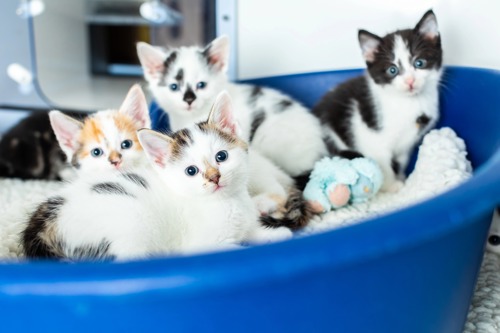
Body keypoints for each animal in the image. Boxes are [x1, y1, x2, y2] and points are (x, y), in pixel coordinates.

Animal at [23, 92, 294, 260]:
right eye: (191, 171)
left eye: (221, 156)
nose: (214, 177)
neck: (228, 203)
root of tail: (43, 226)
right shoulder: (203, 245)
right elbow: (236, 247)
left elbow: (253, 233)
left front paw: (276, 235)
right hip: (131, 227)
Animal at [314, 10, 444, 191]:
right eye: (392, 70)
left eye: (420, 63)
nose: (410, 81)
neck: (409, 103)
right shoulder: (370, 137)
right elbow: (382, 163)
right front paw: (391, 186)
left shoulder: (407, 143)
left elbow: (402, 160)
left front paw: (401, 178)